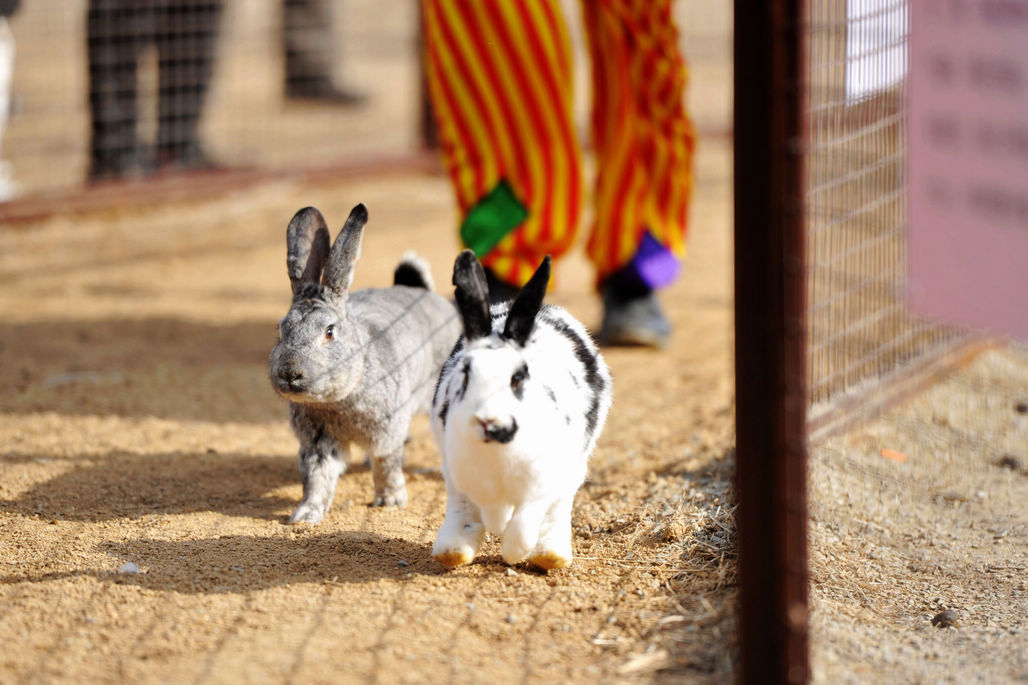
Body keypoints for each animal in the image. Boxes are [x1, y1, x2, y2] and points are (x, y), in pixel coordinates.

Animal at [269, 202, 458, 522]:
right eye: (281, 329)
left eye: (329, 332)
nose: (290, 373)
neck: (337, 401)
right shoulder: (317, 444)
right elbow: (317, 477)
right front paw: (305, 515)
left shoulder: (385, 432)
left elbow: (385, 465)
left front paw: (390, 501)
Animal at [431, 247, 612, 567]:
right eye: (465, 374)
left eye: (518, 378)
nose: (489, 422)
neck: (497, 453)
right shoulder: (472, 481)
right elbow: (489, 513)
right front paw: (497, 529)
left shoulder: (541, 484)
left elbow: (524, 522)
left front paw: (515, 552)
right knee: (460, 507)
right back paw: (452, 551)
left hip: (574, 465)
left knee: (559, 506)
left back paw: (549, 556)